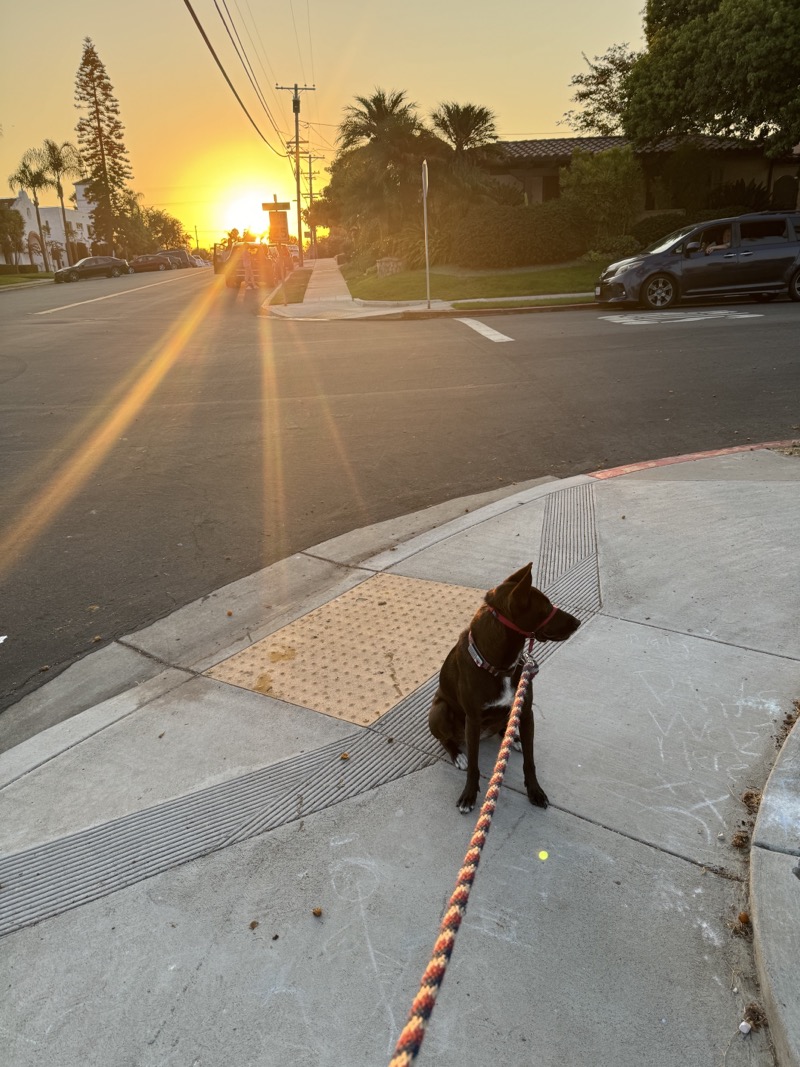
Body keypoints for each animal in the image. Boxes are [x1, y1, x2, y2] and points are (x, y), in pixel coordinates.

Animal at [428, 563, 580, 810]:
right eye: (546, 607)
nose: (577, 623)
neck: (499, 664)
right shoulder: (473, 719)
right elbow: (474, 765)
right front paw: (469, 794)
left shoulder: (526, 711)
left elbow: (530, 760)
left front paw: (535, 790)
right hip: (439, 711)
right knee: (446, 739)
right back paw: (457, 754)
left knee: (505, 729)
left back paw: (514, 739)